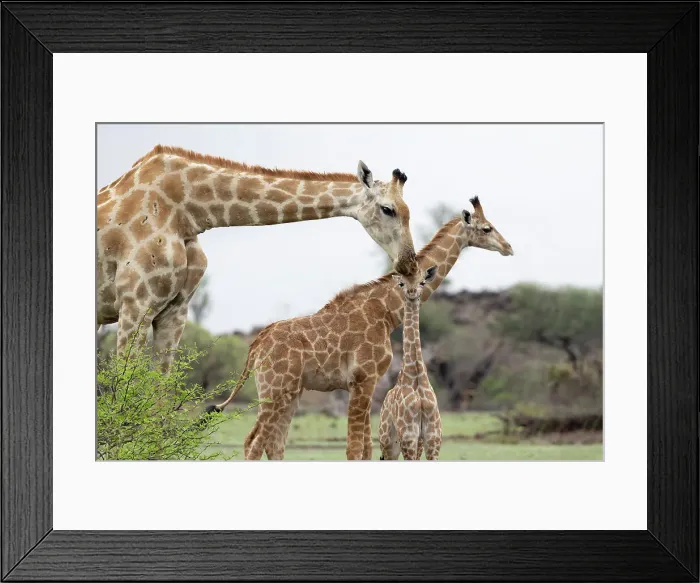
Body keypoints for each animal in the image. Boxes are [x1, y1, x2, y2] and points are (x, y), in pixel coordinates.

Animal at [97, 145, 417, 371]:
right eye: (388, 209)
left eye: (409, 211)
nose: (409, 263)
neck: (188, 212)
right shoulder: (136, 304)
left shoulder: (175, 311)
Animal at [378, 266, 441, 460]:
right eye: (401, 283)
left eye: (422, 281)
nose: (412, 292)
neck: (417, 376)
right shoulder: (409, 435)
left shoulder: (432, 437)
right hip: (387, 441)